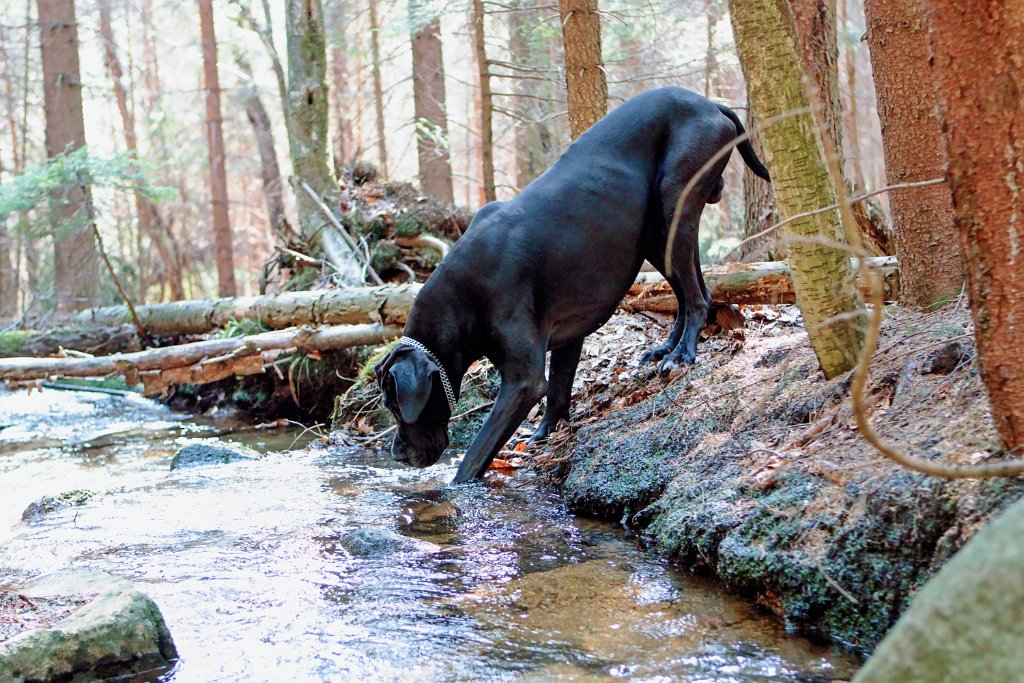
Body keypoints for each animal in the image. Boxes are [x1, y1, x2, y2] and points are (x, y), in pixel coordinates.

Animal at [376, 88, 770, 483]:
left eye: (395, 406)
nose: (397, 455)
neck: (462, 296)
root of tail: (708, 103)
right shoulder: (568, 334)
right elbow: (559, 388)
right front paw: (545, 433)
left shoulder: (522, 382)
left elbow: (475, 456)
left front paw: (458, 487)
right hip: (656, 237)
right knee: (695, 292)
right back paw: (666, 347)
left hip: (674, 203)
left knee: (697, 297)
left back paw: (682, 353)